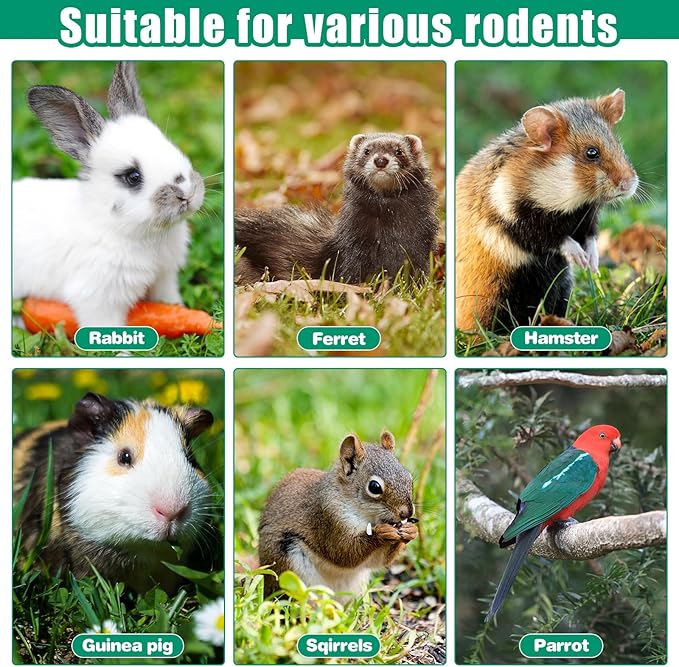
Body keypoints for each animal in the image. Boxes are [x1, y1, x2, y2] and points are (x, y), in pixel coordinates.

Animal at [13, 62, 205, 328]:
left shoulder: (164, 278)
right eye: (133, 176)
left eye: (173, 149)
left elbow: (168, 300)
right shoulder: (98, 298)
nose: (186, 193)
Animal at [456, 88, 638, 332]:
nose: (629, 184)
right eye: (591, 153)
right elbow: (549, 236)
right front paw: (579, 257)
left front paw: (592, 264)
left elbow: (590, 237)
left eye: (618, 145)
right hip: (493, 294)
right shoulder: (512, 217)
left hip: (561, 285)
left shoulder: (586, 217)